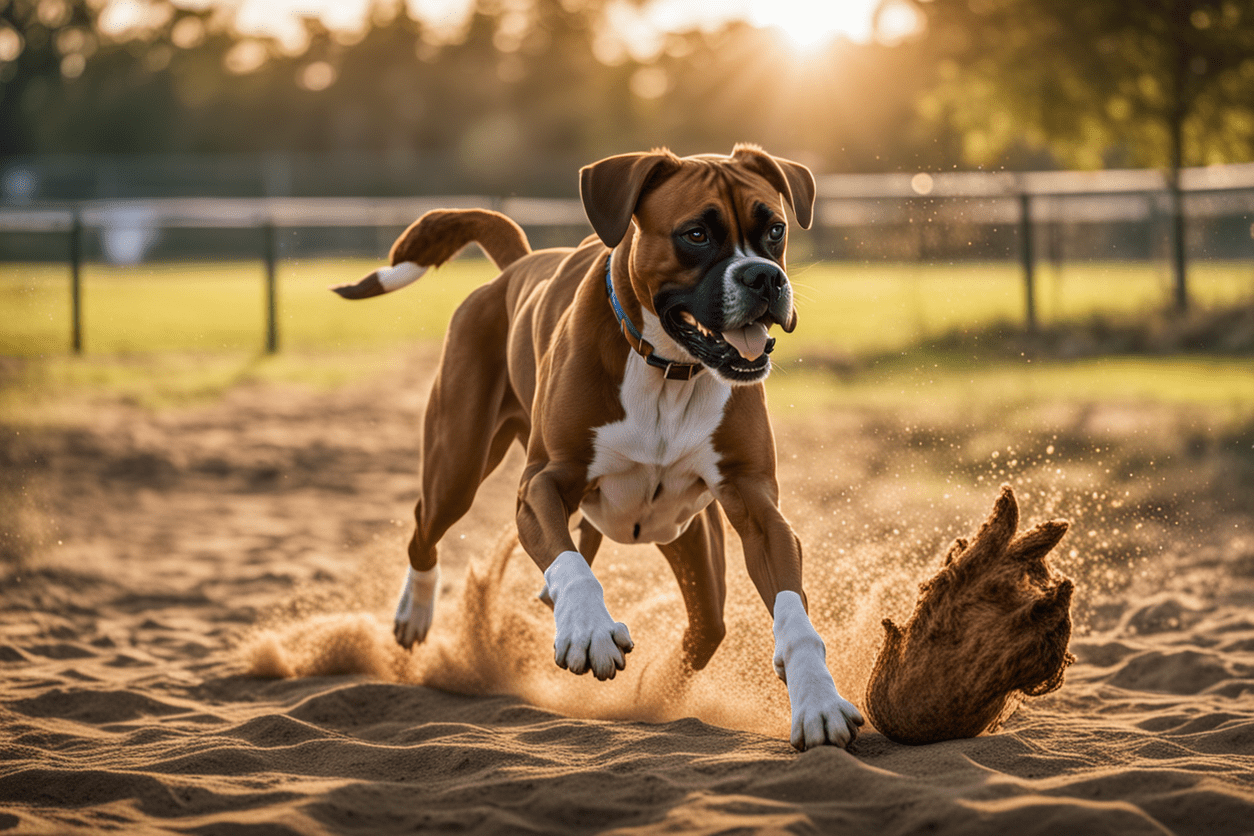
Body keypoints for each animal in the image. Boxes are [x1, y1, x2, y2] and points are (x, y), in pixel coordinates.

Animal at [333, 145, 862, 752]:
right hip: (457, 467)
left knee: (705, 625)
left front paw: (817, 699)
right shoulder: (541, 482)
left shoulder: (757, 508)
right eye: (696, 234)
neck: (668, 368)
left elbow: (793, 612)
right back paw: (416, 613)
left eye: (775, 229)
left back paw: (650, 685)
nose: (765, 277)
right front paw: (588, 630)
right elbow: (570, 566)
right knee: (428, 525)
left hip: (684, 534)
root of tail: (517, 266)